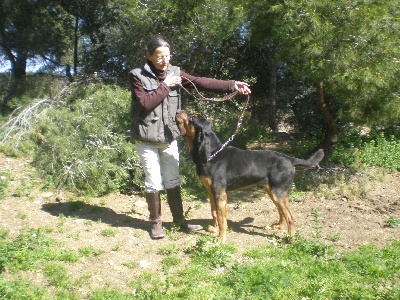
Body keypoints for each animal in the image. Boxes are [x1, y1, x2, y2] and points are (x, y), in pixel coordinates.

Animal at [177, 110, 324, 241]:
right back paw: (278, 226)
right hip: (272, 192)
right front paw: (214, 229)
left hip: (279, 192)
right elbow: (214, 212)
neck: (212, 153)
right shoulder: (211, 192)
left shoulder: (220, 194)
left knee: (290, 216)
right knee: (282, 211)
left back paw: (289, 238)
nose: (178, 111)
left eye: (193, 118)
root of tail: (289, 159)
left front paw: (221, 238)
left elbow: (221, 217)